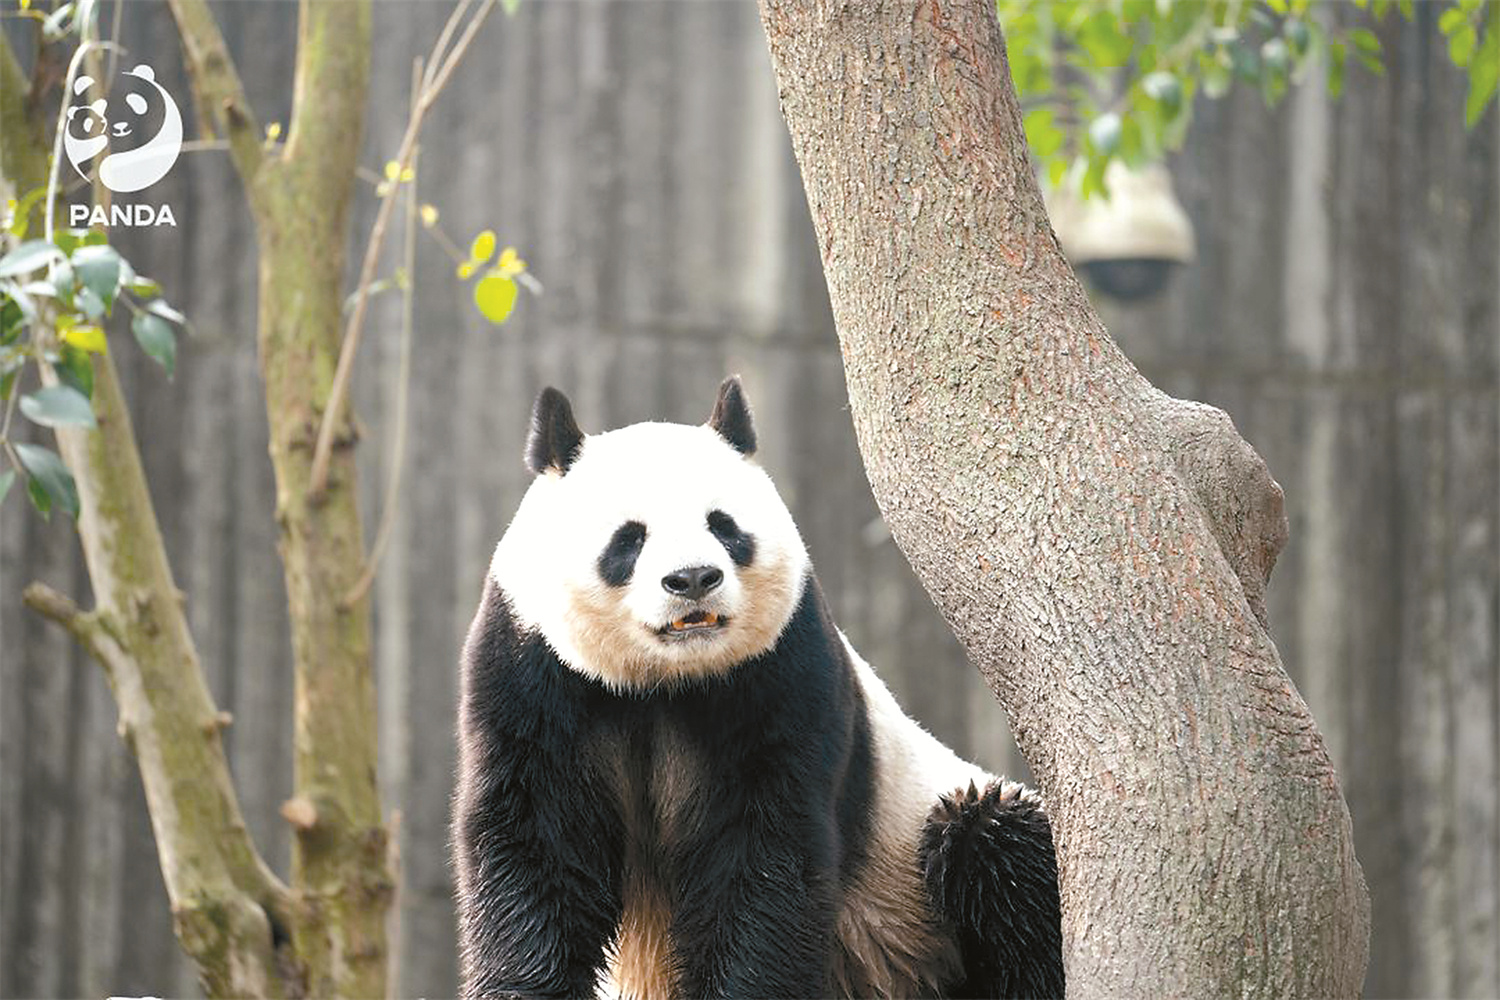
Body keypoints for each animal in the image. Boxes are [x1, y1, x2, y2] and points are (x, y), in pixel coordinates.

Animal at [450, 379, 1062, 995]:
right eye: (629, 539)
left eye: (723, 526)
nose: (693, 579)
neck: (663, 682)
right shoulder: (533, 675)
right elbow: (538, 847)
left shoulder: (782, 671)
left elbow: (762, 859)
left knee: (997, 850)